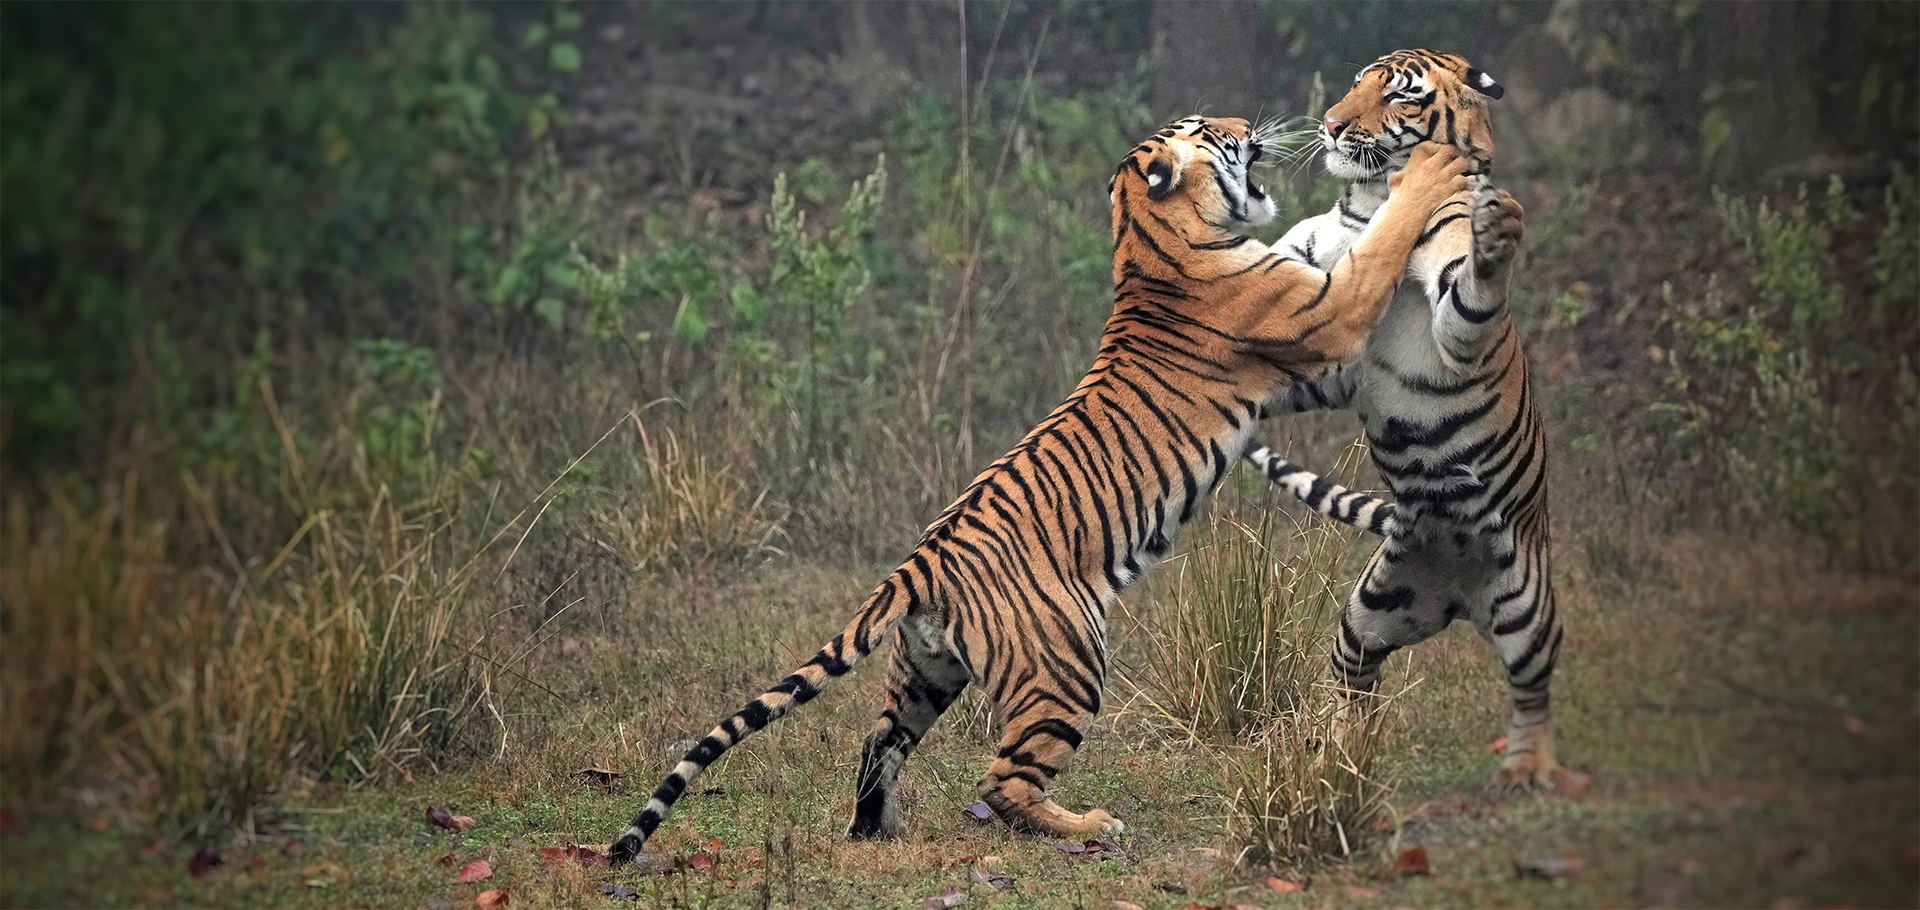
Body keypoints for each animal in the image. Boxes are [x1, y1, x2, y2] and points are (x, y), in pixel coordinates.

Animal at [606, 116, 1471, 865]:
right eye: (1209, 131)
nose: (1246, 125)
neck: (1148, 237)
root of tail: (918, 564)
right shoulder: (1324, 316)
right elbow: (1381, 247)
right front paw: (1427, 178)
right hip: (1067, 661)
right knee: (1001, 781)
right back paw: (1089, 825)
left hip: (925, 672)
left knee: (878, 741)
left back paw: (878, 829)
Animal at [1242, 48, 1570, 793]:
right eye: (1356, 83)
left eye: (1399, 96)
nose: (1332, 124)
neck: (1366, 206)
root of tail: (1458, 595)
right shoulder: (1326, 330)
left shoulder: (1445, 316)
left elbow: (1471, 290)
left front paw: (1496, 235)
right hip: (1370, 611)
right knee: (1353, 681)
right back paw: (1336, 757)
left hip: (1530, 605)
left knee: (1532, 690)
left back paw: (1528, 769)